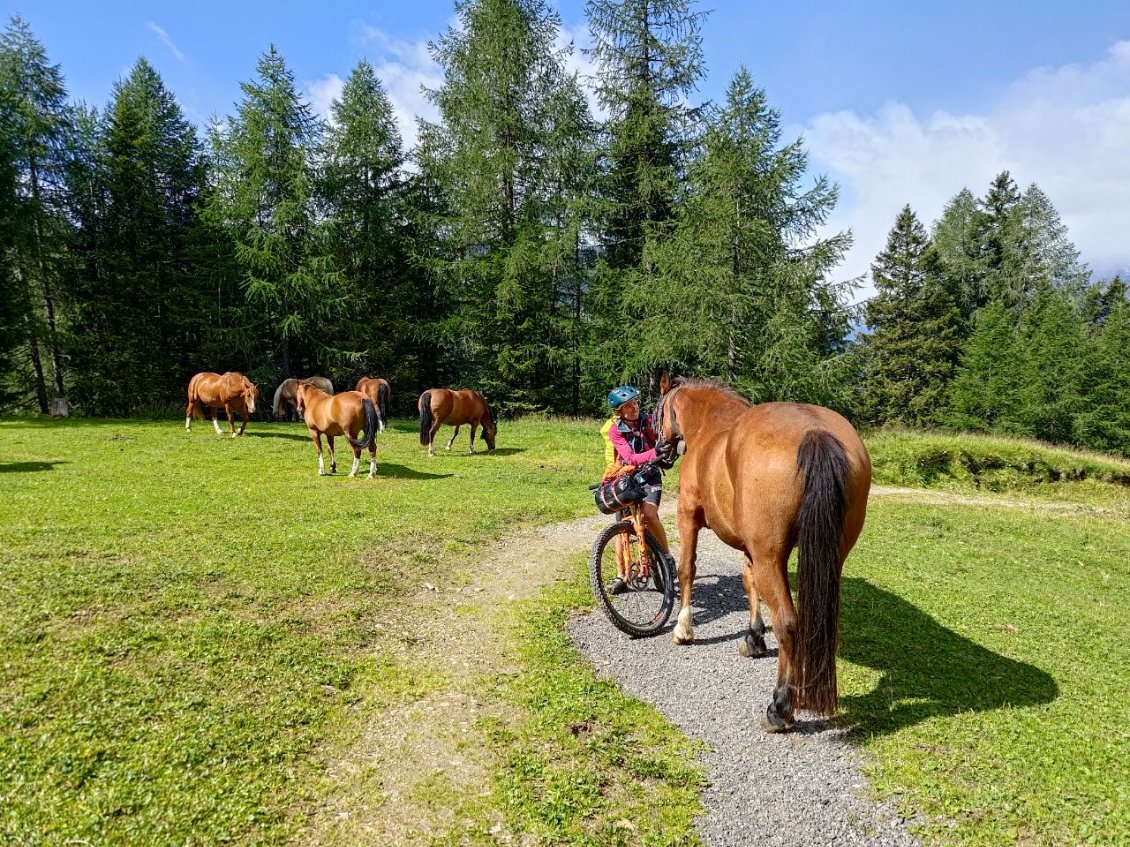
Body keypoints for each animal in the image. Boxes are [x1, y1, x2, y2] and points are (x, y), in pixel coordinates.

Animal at [655, 381, 872, 731]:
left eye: (658, 410)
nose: (660, 449)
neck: (710, 427)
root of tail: (816, 432)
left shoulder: (688, 514)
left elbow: (687, 568)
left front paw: (683, 629)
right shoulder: (751, 548)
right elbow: (749, 583)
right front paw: (754, 638)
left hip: (772, 558)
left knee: (788, 623)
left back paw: (781, 706)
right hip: (828, 559)